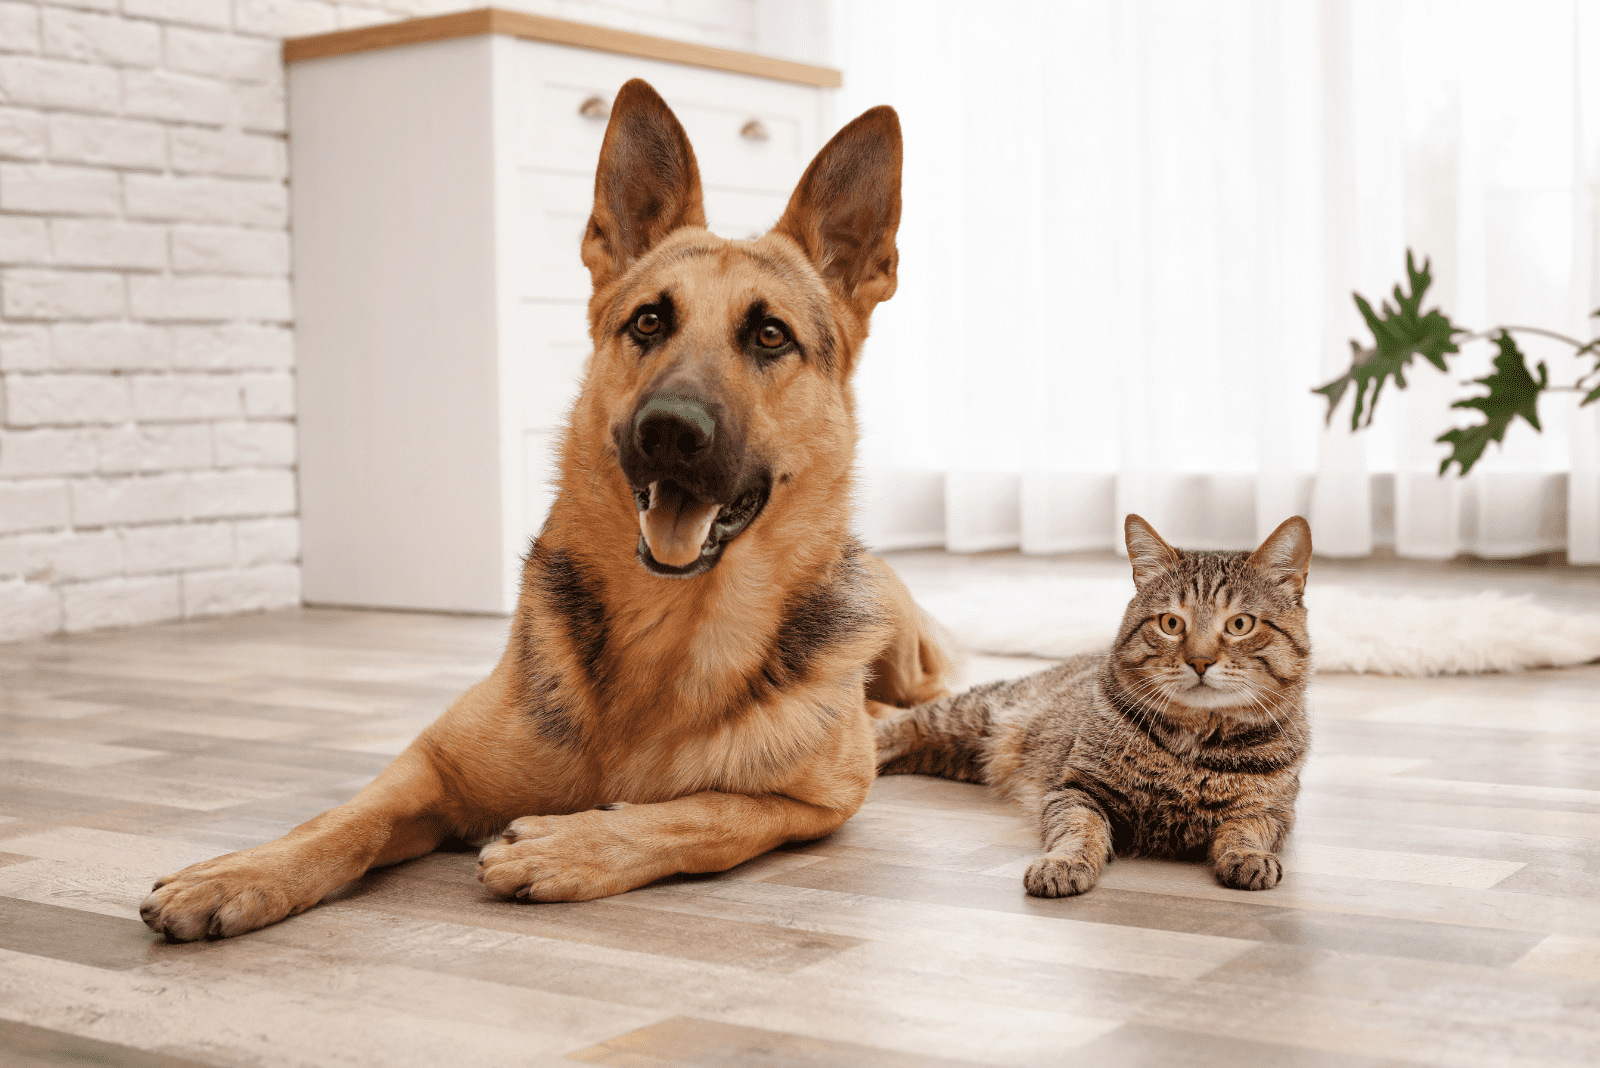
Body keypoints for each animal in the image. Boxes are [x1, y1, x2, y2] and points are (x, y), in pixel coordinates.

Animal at [140, 79, 947, 940]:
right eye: (649, 321)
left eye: (769, 335)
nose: (669, 431)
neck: (669, 630)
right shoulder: (433, 765)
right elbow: (343, 819)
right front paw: (246, 871)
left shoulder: (817, 803)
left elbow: (708, 813)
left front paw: (575, 844)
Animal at [876, 511, 1312, 895]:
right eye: (1171, 623)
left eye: (1240, 624)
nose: (1200, 661)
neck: (1194, 743)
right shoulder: (1078, 790)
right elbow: (1079, 830)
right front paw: (1064, 863)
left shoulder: (1273, 812)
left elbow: (1245, 830)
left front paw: (1249, 856)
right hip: (973, 715)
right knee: (902, 724)